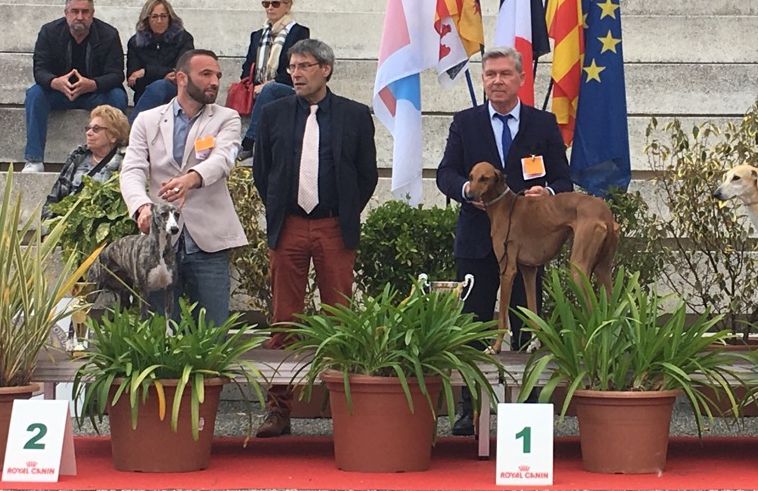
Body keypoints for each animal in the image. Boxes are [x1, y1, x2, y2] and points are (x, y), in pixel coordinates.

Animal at [470, 162, 624, 354]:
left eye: (484, 178)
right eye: (470, 177)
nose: (468, 195)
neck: (505, 206)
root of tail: (606, 214)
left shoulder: (507, 270)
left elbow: (503, 318)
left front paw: (495, 347)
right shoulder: (529, 270)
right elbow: (532, 310)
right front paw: (534, 344)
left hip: (578, 269)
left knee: (592, 310)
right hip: (604, 269)